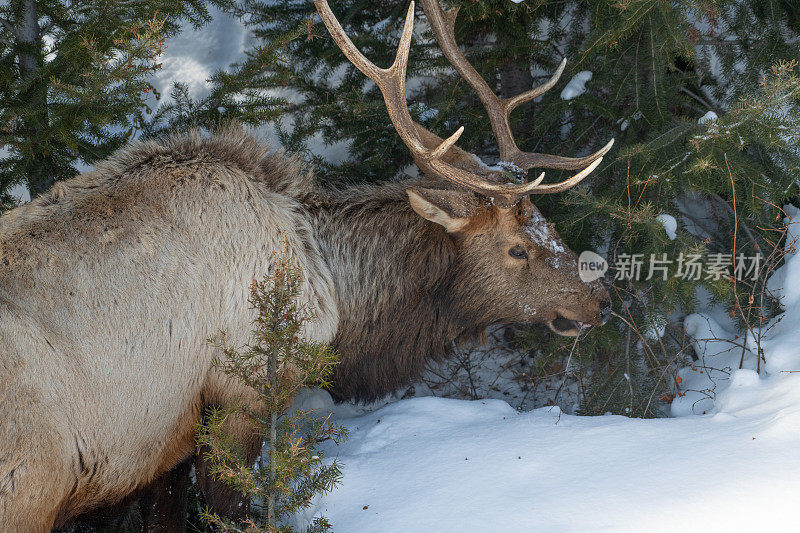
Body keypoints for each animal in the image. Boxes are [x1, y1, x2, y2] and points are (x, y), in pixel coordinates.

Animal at [0, 0, 612, 528]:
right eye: (516, 249)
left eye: (546, 226)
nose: (598, 302)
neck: (333, 296)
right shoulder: (239, 395)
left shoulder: (162, 446)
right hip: (29, 483)